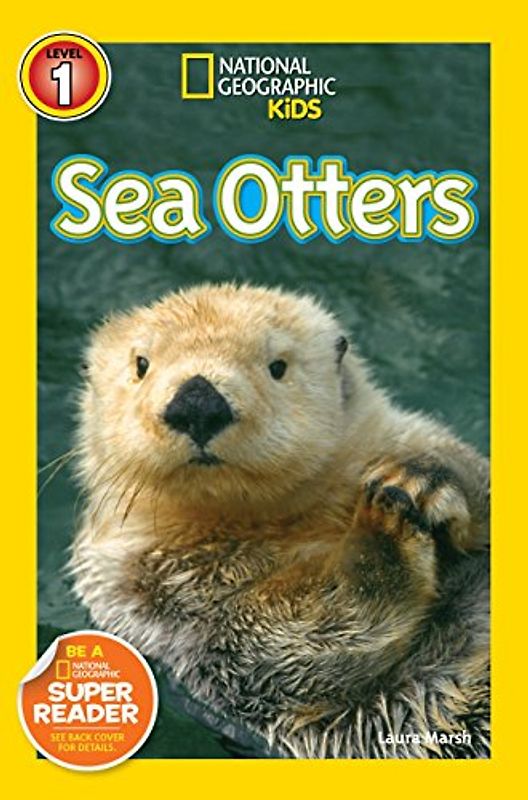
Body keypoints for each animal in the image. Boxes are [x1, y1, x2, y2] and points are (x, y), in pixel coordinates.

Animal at [70, 283, 489, 759]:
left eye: (277, 366)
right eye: (141, 365)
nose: (198, 402)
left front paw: (421, 478)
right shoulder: (154, 597)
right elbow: (297, 635)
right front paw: (384, 524)